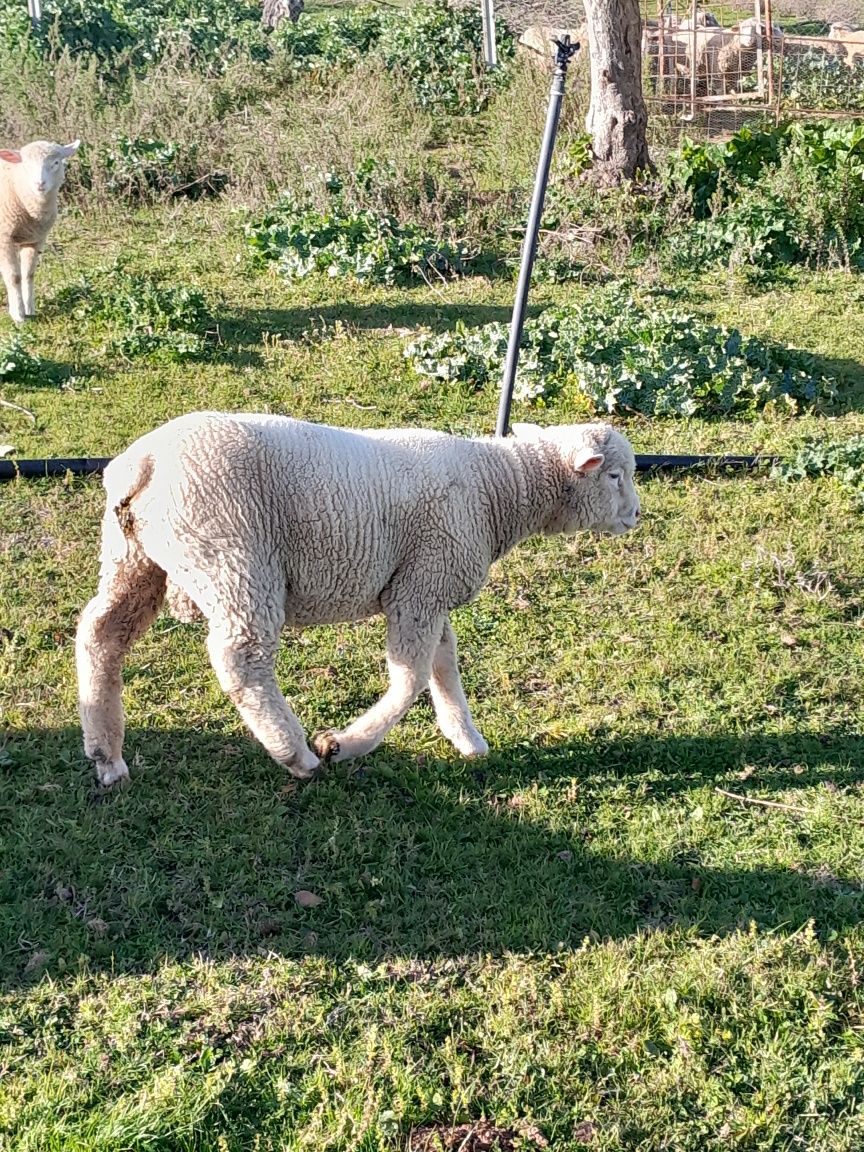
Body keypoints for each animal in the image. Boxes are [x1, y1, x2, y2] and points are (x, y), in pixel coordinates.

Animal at [0, 143, 80, 327]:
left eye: (56, 162)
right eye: (26, 164)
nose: (40, 183)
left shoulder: (35, 239)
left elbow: (28, 274)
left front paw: (30, 309)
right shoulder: (4, 238)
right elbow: (14, 277)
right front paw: (18, 315)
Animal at [76, 410, 645, 787]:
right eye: (615, 475)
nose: (636, 515)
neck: (498, 490)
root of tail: (143, 463)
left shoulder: (427, 585)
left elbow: (444, 666)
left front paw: (467, 738)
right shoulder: (421, 587)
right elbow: (410, 678)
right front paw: (345, 744)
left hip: (133, 557)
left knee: (101, 633)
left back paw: (107, 755)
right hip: (231, 556)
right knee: (241, 658)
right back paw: (296, 754)